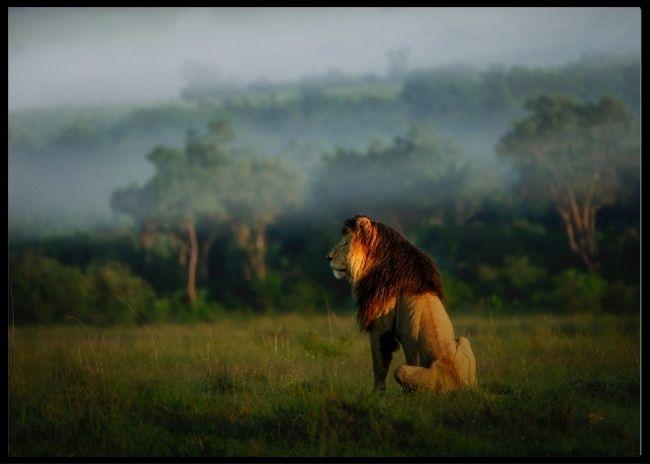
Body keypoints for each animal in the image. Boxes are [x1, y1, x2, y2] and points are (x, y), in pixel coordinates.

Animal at [327, 214, 477, 392]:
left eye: (345, 243)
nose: (328, 258)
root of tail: (458, 383)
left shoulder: (380, 326)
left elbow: (379, 364)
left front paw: (376, 394)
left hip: (404, 371)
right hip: (464, 341)